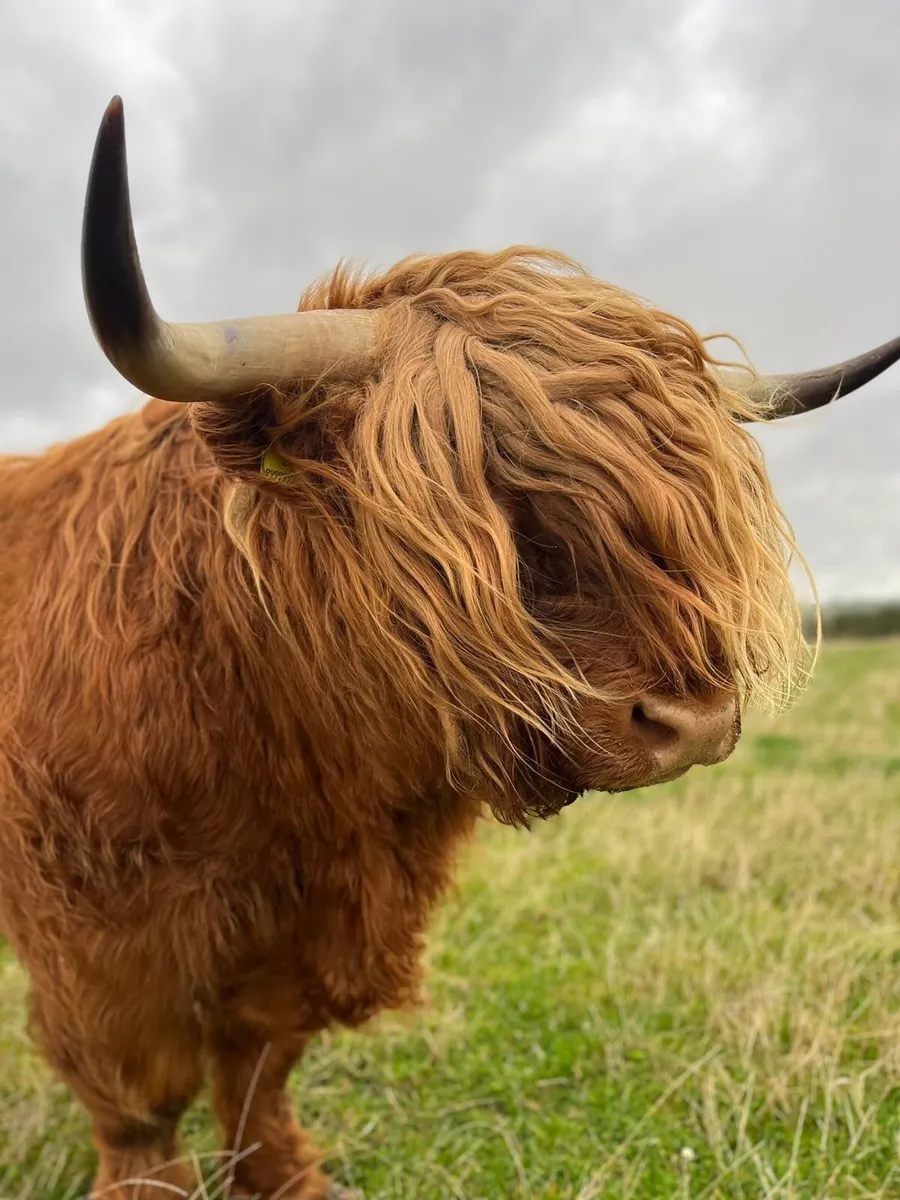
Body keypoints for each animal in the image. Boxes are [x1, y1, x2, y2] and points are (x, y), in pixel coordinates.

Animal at [1, 96, 897, 1200]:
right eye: (478, 519)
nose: (689, 723)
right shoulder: (100, 944)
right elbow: (140, 1101)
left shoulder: (308, 936)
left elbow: (259, 1067)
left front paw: (288, 1178)